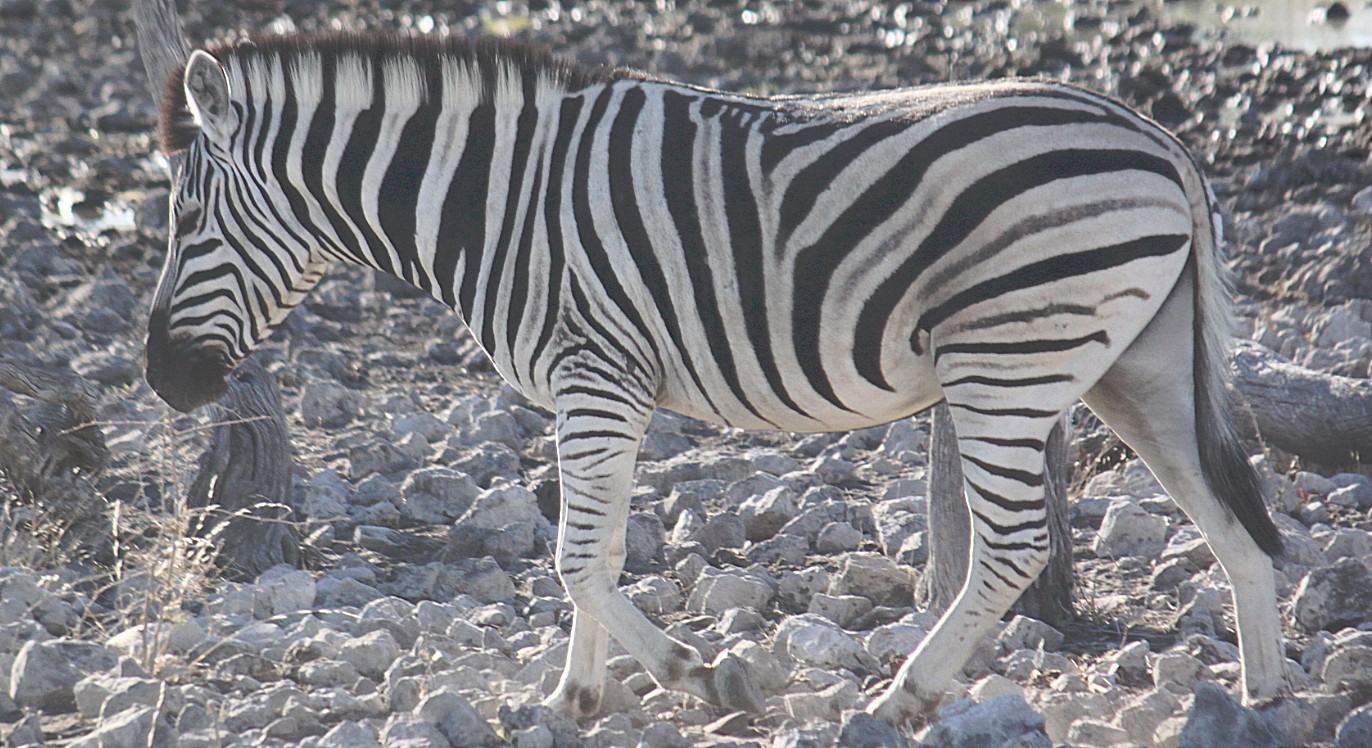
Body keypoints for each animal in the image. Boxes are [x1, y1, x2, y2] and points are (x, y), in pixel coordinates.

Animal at [136, 0, 1284, 724]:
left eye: (187, 222)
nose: (160, 381)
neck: (493, 201)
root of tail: (1160, 139)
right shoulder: (605, 388)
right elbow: (595, 553)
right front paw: (573, 701)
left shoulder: (595, 376)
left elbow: (575, 561)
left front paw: (698, 674)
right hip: (1132, 367)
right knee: (1233, 527)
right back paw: (1265, 694)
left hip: (1008, 361)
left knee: (1009, 548)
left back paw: (905, 697)